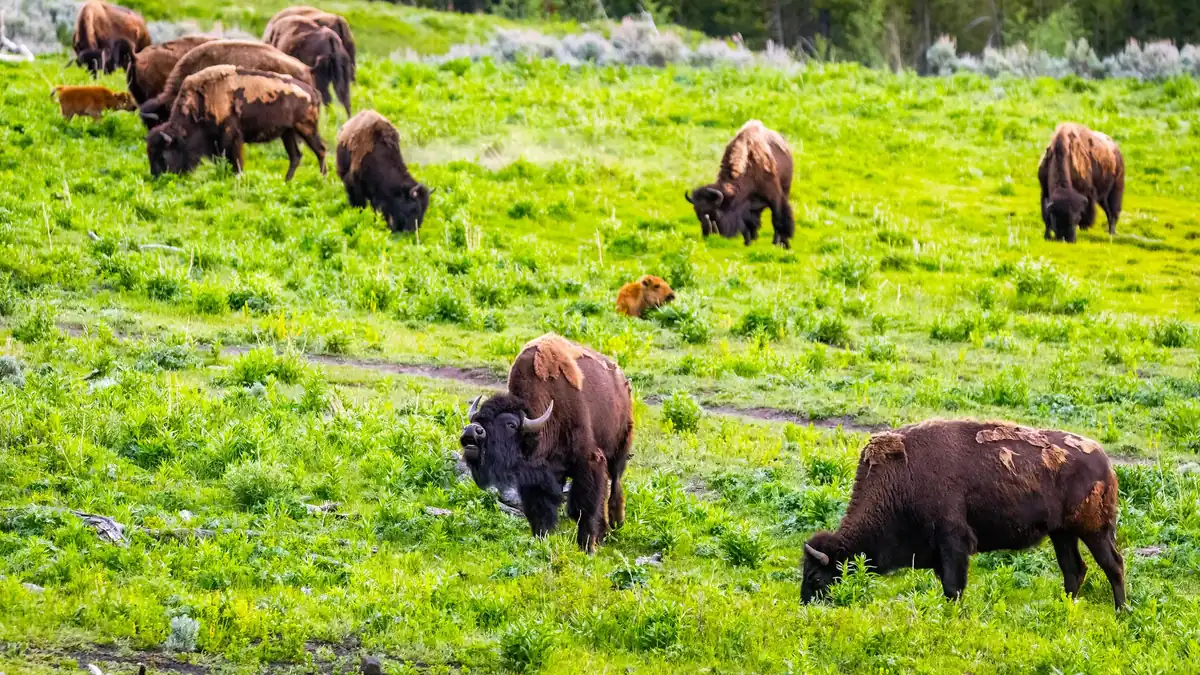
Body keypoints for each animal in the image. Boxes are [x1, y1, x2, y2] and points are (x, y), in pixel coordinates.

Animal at [146, 65, 326, 181]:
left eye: (163, 154)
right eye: (149, 153)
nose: (156, 178)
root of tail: (313, 92)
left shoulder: (231, 137)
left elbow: (234, 160)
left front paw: (236, 177)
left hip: (306, 129)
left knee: (320, 150)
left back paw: (322, 179)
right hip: (287, 133)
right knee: (295, 156)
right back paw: (287, 181)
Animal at [459, 334, 633, 552]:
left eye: (511, 424)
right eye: (478, 418)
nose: (471, 431)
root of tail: (622, 381)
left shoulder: (590, 463)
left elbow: (583, 508)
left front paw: (587, 548)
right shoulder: (537, 478)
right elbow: (541, 512)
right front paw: (542, 541)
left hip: (619, 451)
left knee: (615, 486)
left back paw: (615, 525)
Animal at [687, 120, 794, 249]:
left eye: (716, 214)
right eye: (698, 214)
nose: (708, 235)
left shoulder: (775, 198)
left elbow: (778, 220)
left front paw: (780, 244)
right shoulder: (745, 208)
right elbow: (747, 225)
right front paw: (748, 242)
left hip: (785, 189)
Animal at [802, 419, 1125, 609]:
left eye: (815, 577)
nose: (805, 605)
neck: (899, 479)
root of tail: (1103, 459)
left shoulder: (953, 544)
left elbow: (953, 587)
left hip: (1095, 530)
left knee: (1113, 565)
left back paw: (1121, 610)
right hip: (1062, 534)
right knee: (1074, 570)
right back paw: (1066, 606)